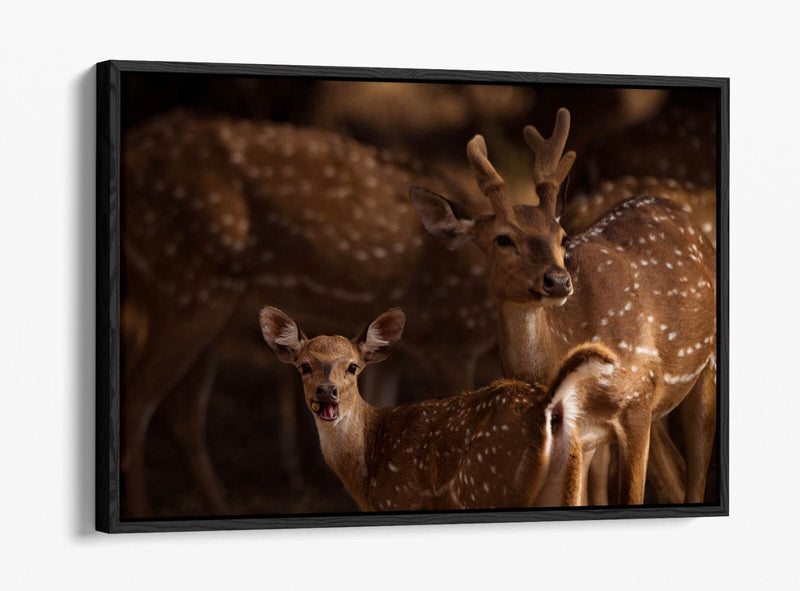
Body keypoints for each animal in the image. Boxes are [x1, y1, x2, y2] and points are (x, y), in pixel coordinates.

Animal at [120, 110, 497, 517]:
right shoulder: (452, 339)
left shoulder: (398, 355)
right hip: (187, 290)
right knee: (137, 402)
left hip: (204, 304)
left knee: (182, 414)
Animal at [259, 305, 628, 510]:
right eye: (304, 366)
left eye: (352, 366)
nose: (327, 392)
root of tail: (549, 404)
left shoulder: (398, 500)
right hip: (568, 481)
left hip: (487, 486)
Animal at [409, 108, 717, 504]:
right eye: (502, 239)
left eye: (562, 236)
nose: (557, 280)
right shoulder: (580, 435)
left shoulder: (636, 402)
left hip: (702, 370)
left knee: (694, 478)